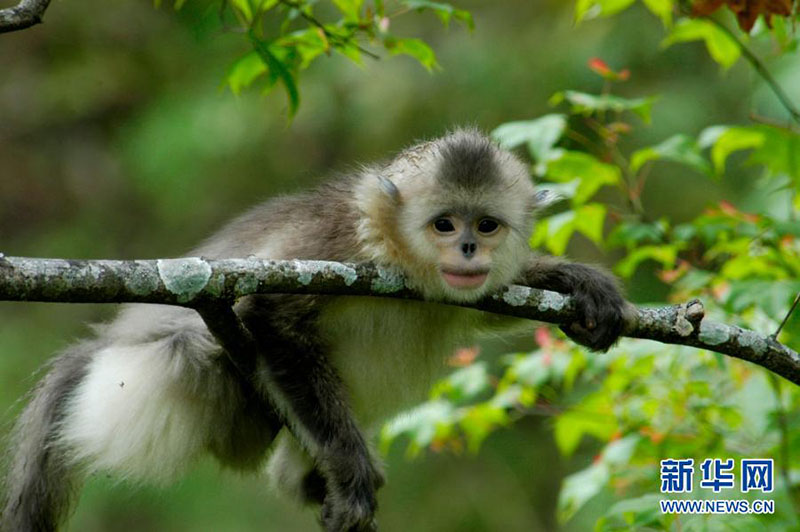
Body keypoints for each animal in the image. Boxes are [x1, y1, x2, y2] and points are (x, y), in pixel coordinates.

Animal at [1, 129, 632, 532]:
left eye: (487, 225)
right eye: (445, 224)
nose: (470, 249)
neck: (394, 253)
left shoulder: (463, 290)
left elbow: (483, 301)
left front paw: (579, 281)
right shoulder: (335, 248)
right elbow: (266, 315)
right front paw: (351, 471)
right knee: (204, 346)